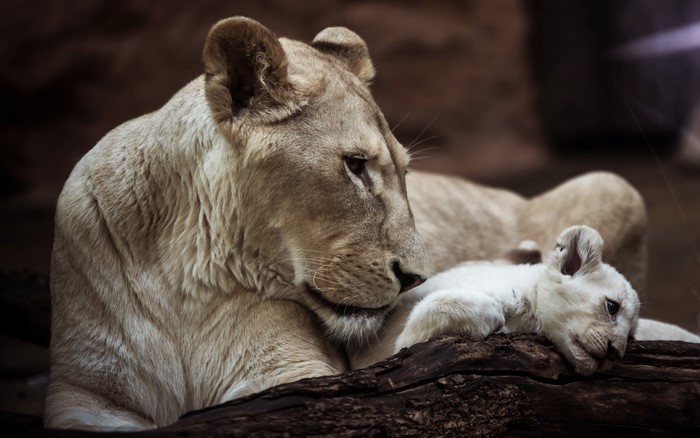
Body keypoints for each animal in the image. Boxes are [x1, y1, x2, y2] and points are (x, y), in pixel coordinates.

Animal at [45, 17, 649, 431]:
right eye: (355, 166)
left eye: (404, 171)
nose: (416, 278)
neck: (180, 267)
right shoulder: (83, 396)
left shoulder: (287, 376)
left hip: (616, 186)